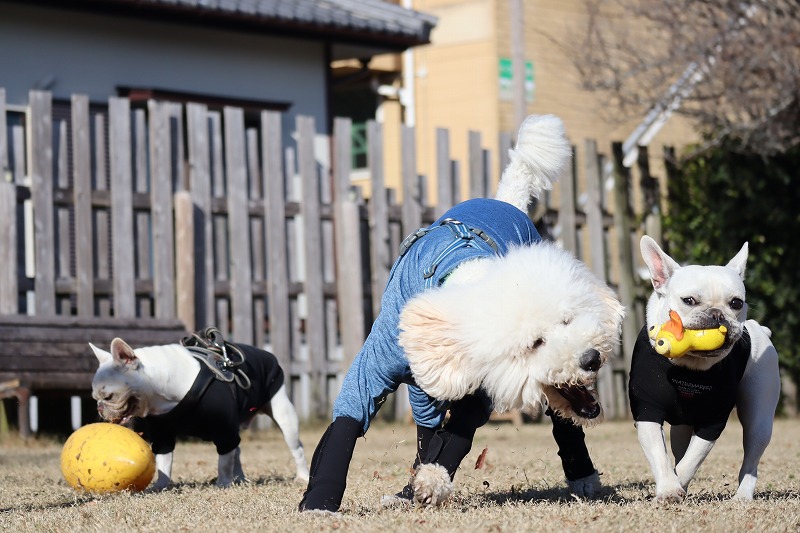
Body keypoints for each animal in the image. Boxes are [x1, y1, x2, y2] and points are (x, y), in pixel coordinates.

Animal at [90, 329, 309, 490]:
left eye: (108, 396)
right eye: (95, 398)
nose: (100, 408)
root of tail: (268, 354)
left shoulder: (224, 431)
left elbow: (223, 461)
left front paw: (223, 483)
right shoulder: (162, 433)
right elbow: (164, 461)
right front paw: (160, 486)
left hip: (284, 414)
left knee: (296, 448)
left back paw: (302, 476)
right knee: (237, 451)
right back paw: (239, 478)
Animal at [298, 114, 625, 513]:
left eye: (568, 320)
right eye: (536, 343)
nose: (590, 358)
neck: (463, 276)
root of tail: (505, 200)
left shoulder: (482, 385)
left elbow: (457, 435)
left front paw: (431, 483)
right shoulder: (378, 366)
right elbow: (350, 420)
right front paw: (320, 499)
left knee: (562, 422)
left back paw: (583, 477)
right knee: (426, 425)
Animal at [630, 236, 780, 502]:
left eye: (736, 303)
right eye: (689, 301)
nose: (717, 314)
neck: (689, 366)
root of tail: (760, 329)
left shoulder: (713, 420)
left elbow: (693, 459)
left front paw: (676, 485)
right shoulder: (647, 411)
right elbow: (660, 454)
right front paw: (670, 488)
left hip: (759, 416)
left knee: (752, 457)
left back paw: (742, 496)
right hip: (681, 427)